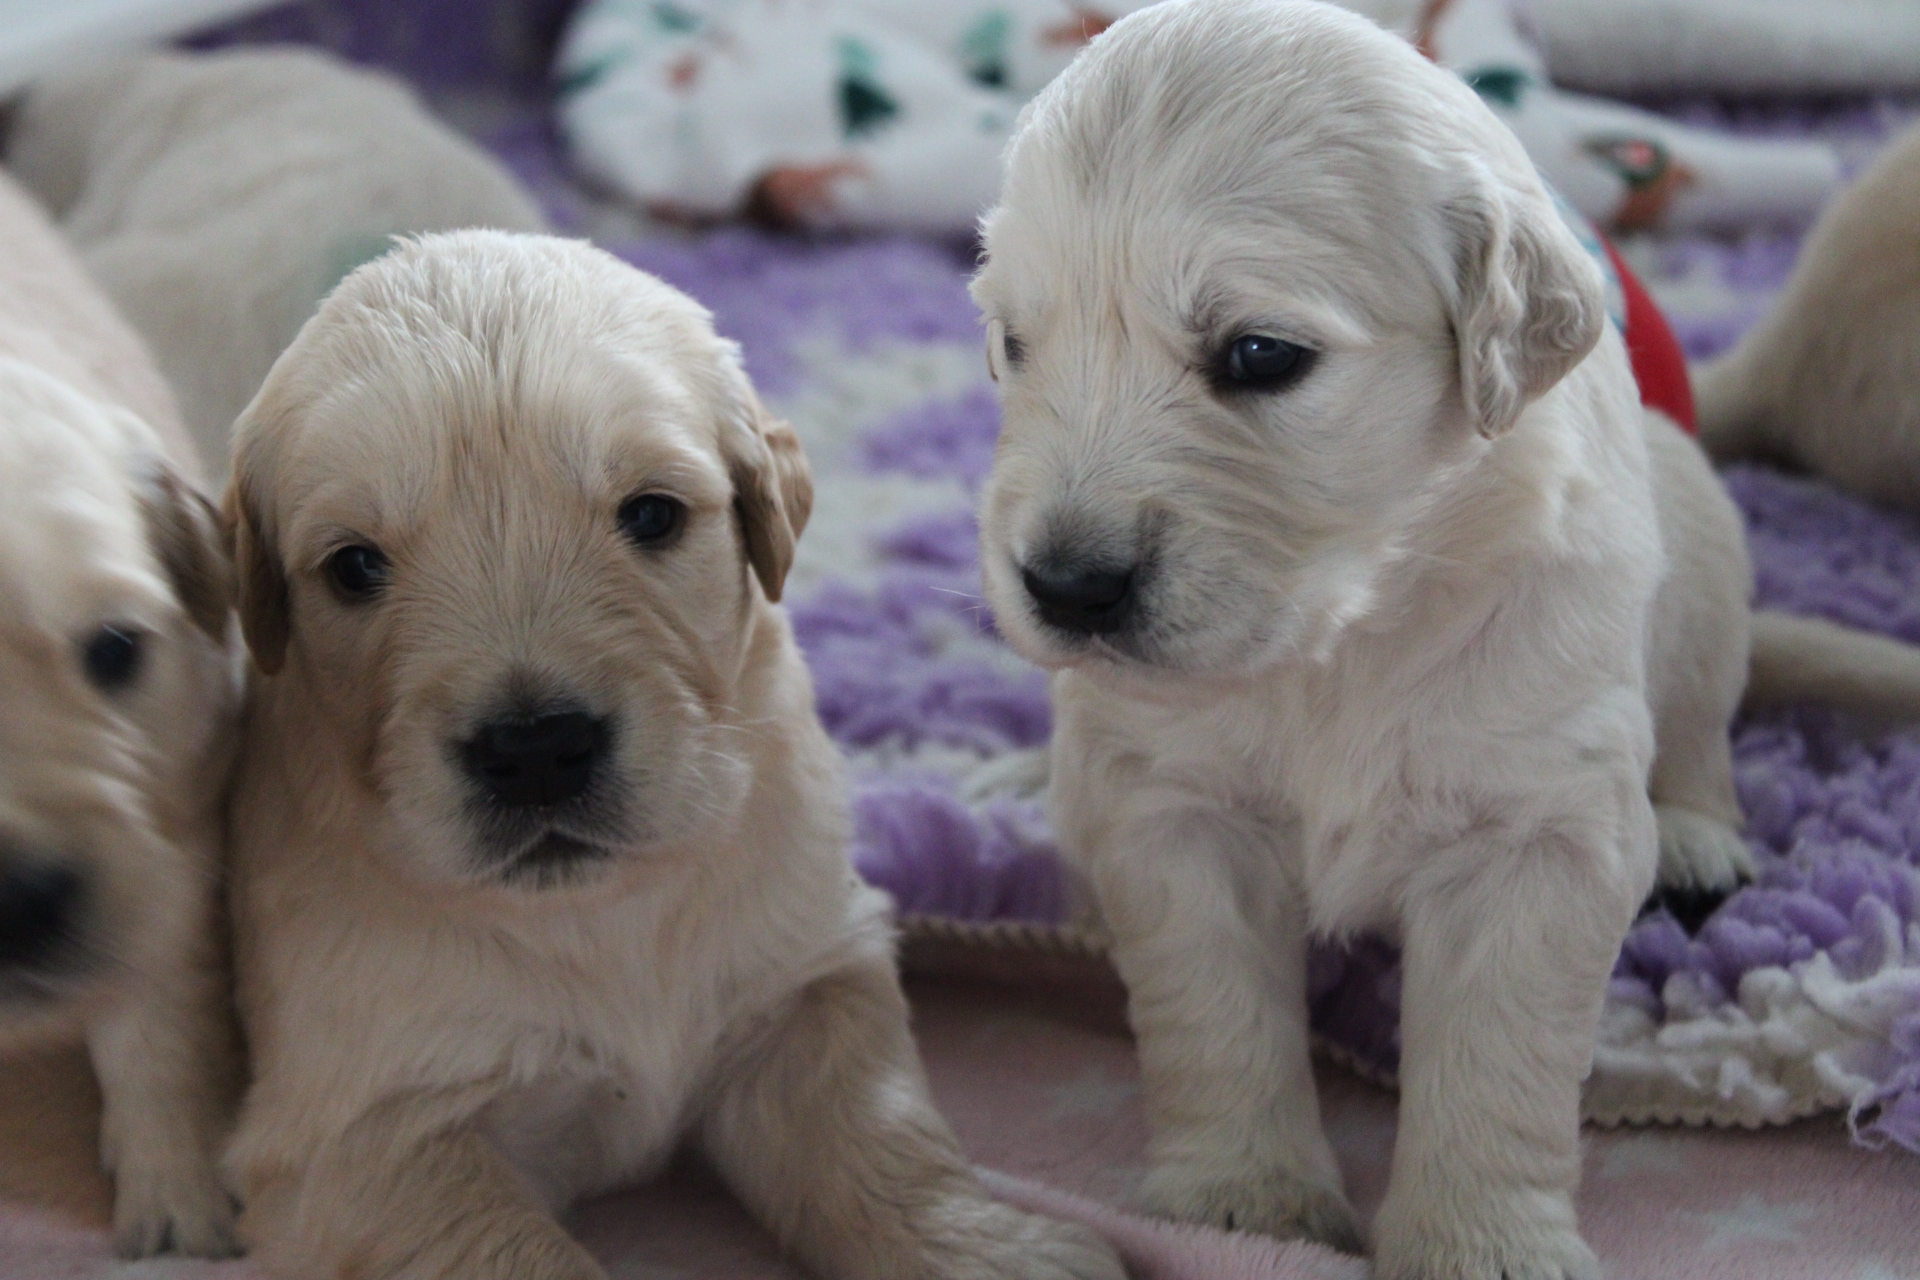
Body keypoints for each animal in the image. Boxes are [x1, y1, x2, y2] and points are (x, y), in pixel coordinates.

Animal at [218, 231, 1124, 1280]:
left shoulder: (807, 983)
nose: (535, 749)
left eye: (650, 515)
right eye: (354, 567)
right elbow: (524, 1255)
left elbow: (882, 1144)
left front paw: (986, 1247)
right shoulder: (364, 1142)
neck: (602, 911)